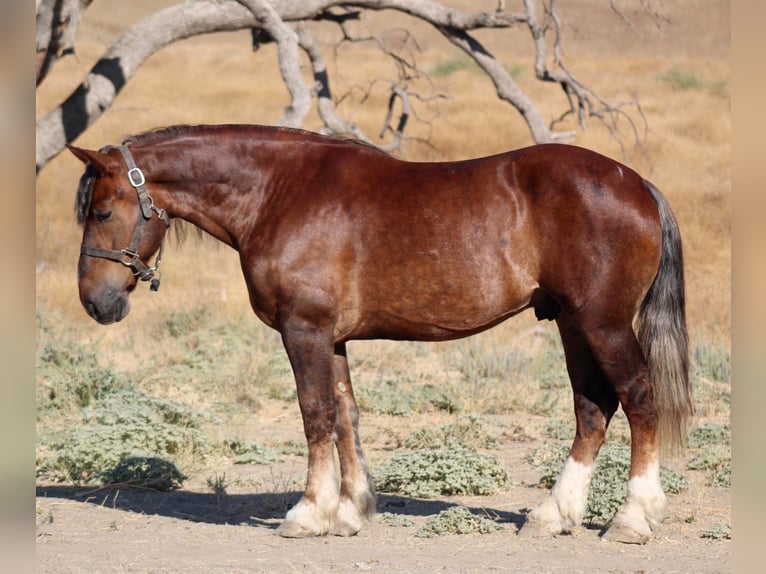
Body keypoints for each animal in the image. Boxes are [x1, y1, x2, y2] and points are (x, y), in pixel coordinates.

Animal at [70, 125, 696, 544]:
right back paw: (554, 515)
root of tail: (637, 183)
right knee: (593, 408)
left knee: (638, 400)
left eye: (101, 212)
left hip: (602, 323)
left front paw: (307, 514)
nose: (96, 303)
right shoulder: (332, 339)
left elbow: (316, 414)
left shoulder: (304, 331)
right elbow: (346, 415)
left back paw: (631, 518)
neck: (278, 193)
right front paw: (350, 512)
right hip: (571, 322)